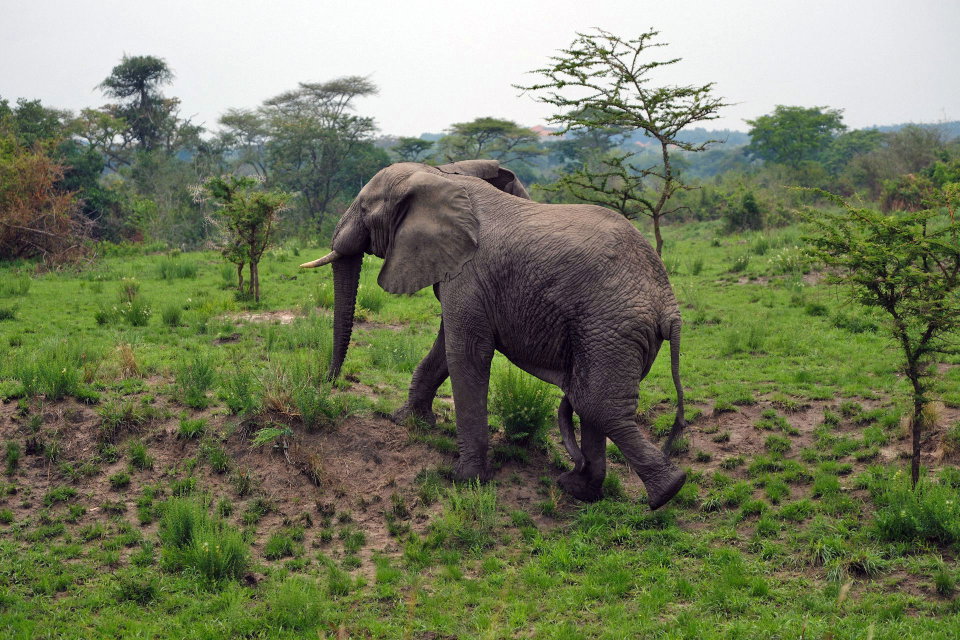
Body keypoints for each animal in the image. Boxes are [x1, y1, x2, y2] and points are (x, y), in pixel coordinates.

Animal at [300, 160, 687, 509]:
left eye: (364, 207)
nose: (327, 384)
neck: (440, 174)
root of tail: (669, 306)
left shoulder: (470, 273)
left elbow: (466, 353)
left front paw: (465, 480)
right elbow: (445, 348)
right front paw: (407, 421)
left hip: (610, 326)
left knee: (598, 405)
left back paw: (667, 491)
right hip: (606, 333)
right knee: (590, 402)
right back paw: (579, 489)